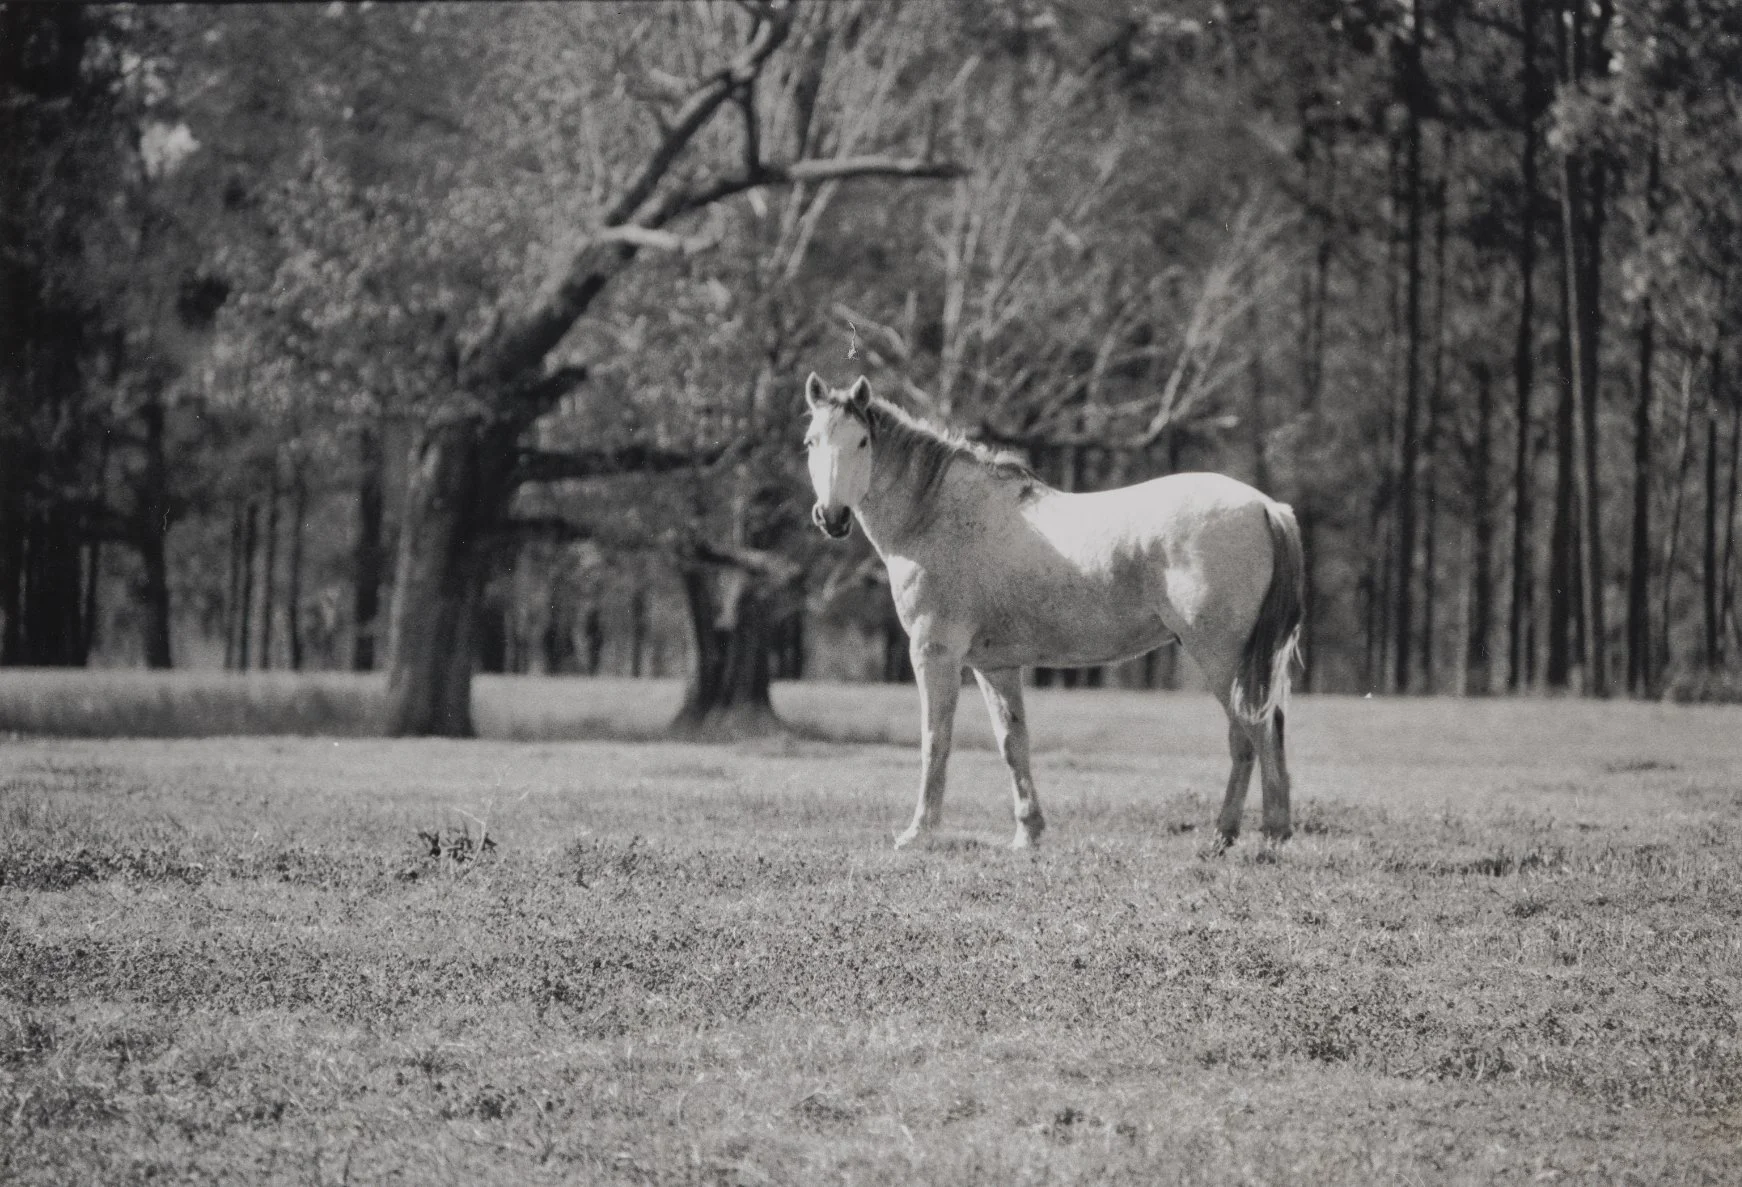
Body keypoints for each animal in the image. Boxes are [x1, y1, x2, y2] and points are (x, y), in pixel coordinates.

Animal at [802, 372, 1304, 852]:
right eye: (811, 441)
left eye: (861, 441)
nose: (832, 516)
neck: (937, 516)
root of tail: (1266, 506)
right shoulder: (995, 666)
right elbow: (1013, 743)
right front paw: (1028, 832)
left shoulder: (934, 653)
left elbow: (935, 740)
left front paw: (918, 832)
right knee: (1259, 732)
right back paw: (1236, 835)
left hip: (1221, 657)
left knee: (1252, 732)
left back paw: (1260, 835)